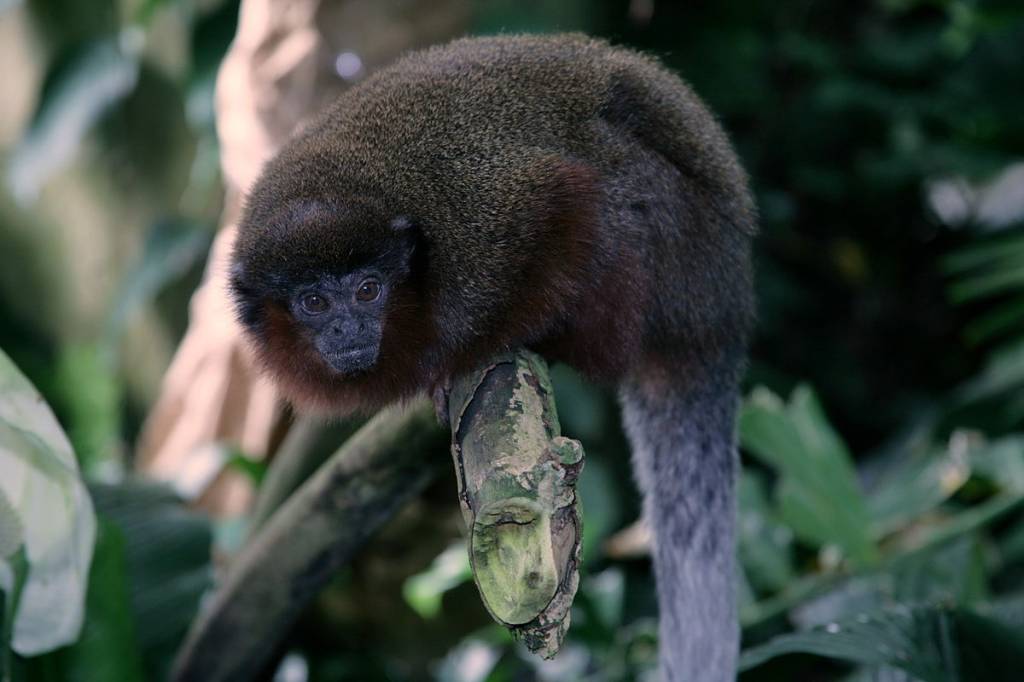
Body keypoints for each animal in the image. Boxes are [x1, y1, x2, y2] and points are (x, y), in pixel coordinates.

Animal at [230, 33, 755, 681]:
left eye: (368, 291)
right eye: (313, 302)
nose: (348, 327)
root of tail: (724, 302)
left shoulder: (483, 225)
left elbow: (568, 199)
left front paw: (481, 352)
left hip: (677, 251)